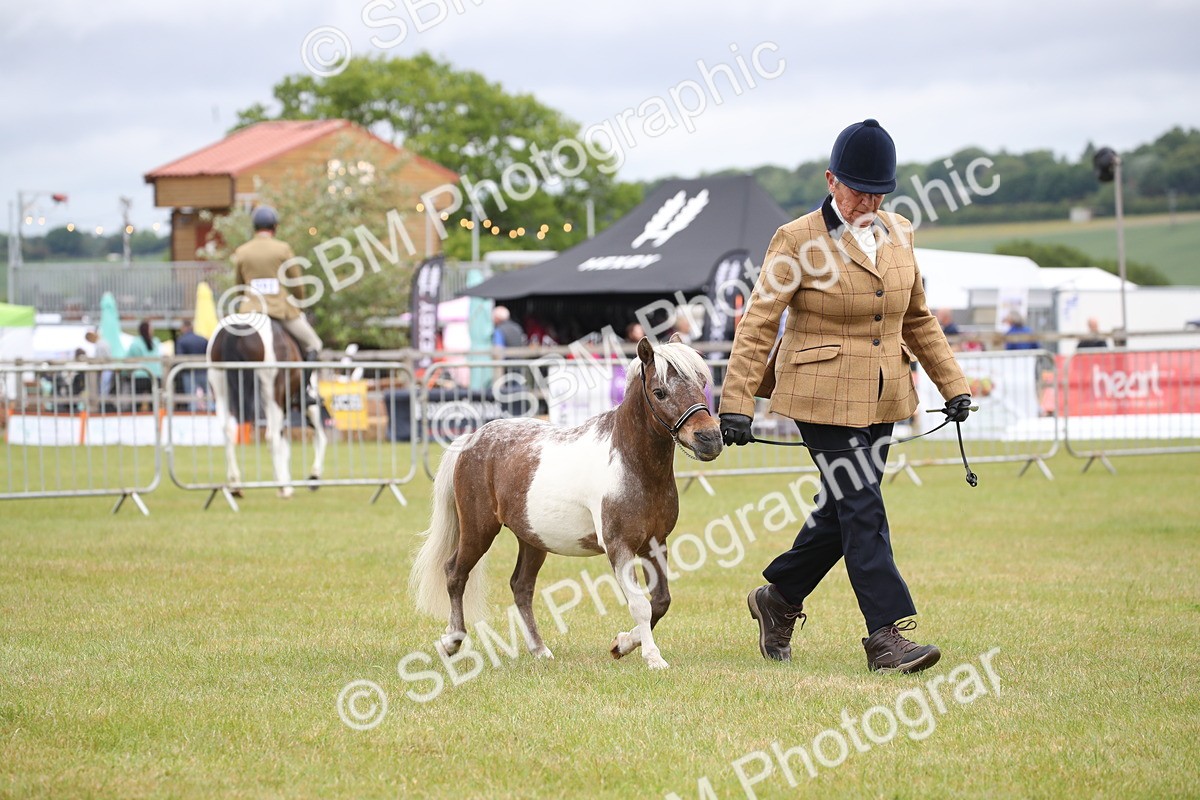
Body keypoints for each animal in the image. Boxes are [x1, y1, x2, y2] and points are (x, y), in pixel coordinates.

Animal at [206, 312, 327, 499]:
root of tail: (239, 326)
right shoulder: (305, 403)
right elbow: (320, 437)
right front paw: (312, 477)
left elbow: (285, 445)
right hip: (273, 392)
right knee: (271, 436)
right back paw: (284, 487)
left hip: (220, 389)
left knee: (228, 431)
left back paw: (236, 485)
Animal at [411, 335, 723, 670]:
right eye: (660, 392)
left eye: (702, 382)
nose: (710, 438)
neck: (633, 465)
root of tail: (471, 438)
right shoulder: (620, 547)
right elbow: (641, 604)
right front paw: (653, 658)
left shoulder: (656, 544)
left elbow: (660, 602)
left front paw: (622, 644)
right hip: (478, 529)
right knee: (455, 573)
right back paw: (452, 641)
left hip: (532, 540)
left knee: (521, 588)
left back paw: (539, 649)